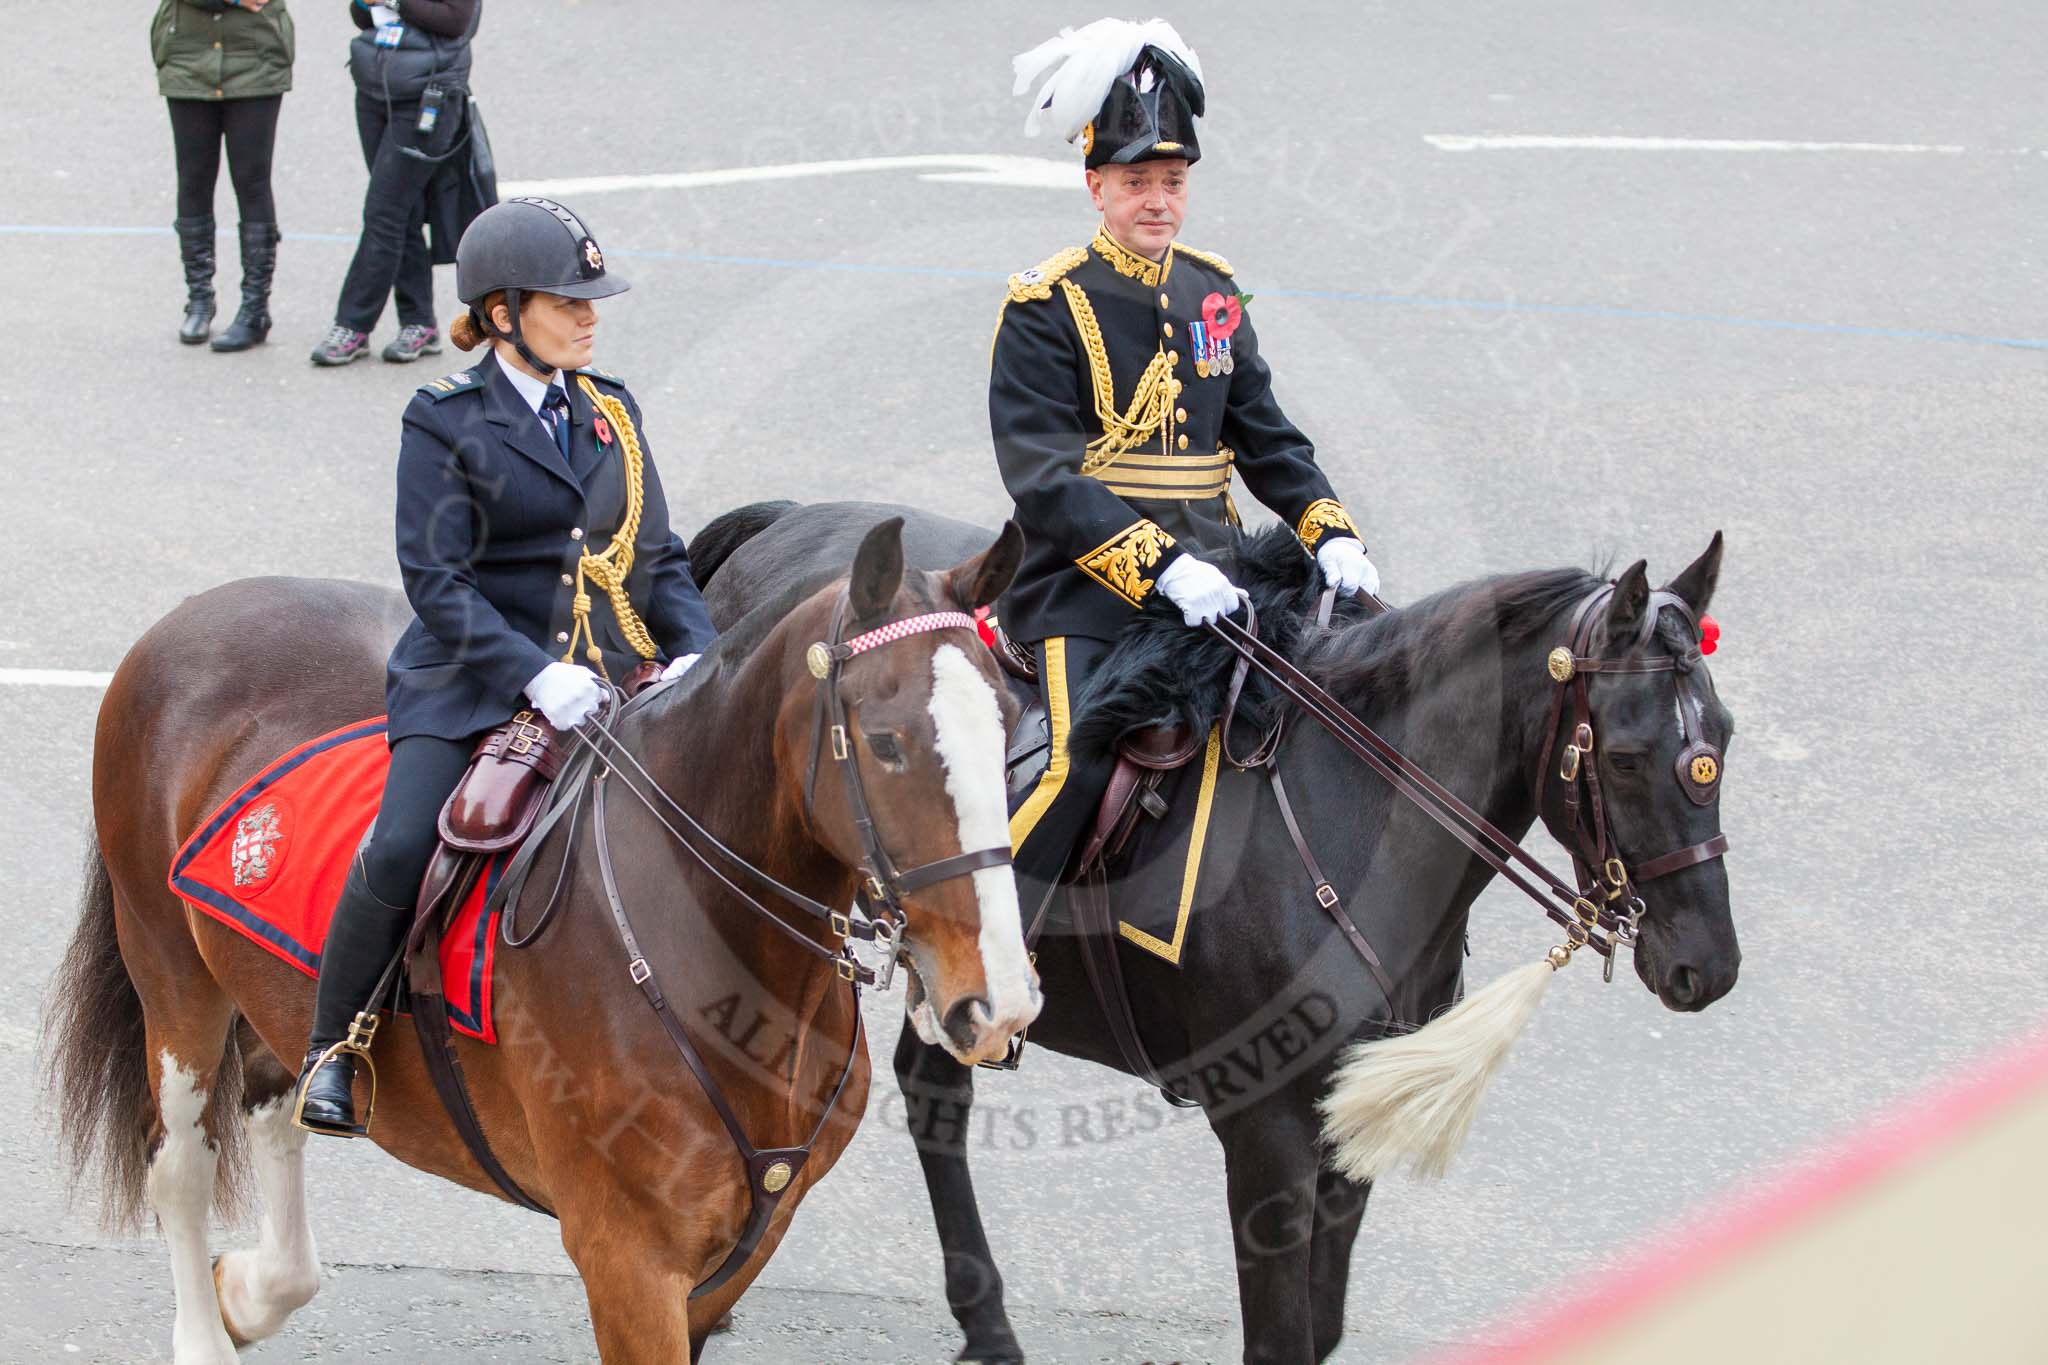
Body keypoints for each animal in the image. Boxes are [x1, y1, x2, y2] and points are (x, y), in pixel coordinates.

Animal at [44, 517, 1040, 1358]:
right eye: (887, 741)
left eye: (1008, 726)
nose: (997, 1000)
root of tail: (194, 613)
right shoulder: (627, 1257)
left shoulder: (740, 1248)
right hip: (169, 970)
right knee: (181, 1165)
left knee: (272, 1099)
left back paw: (254, 1289)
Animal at [692, 501, 1744, 1365]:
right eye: (1627, 754)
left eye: (1722, 738)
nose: (1710, 964)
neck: (1347, 809)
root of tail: (784, 524)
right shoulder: (1265, 1122)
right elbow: (1280, 1336)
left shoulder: (1345, 1110)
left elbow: (1322, 1325)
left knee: (932, 1088)